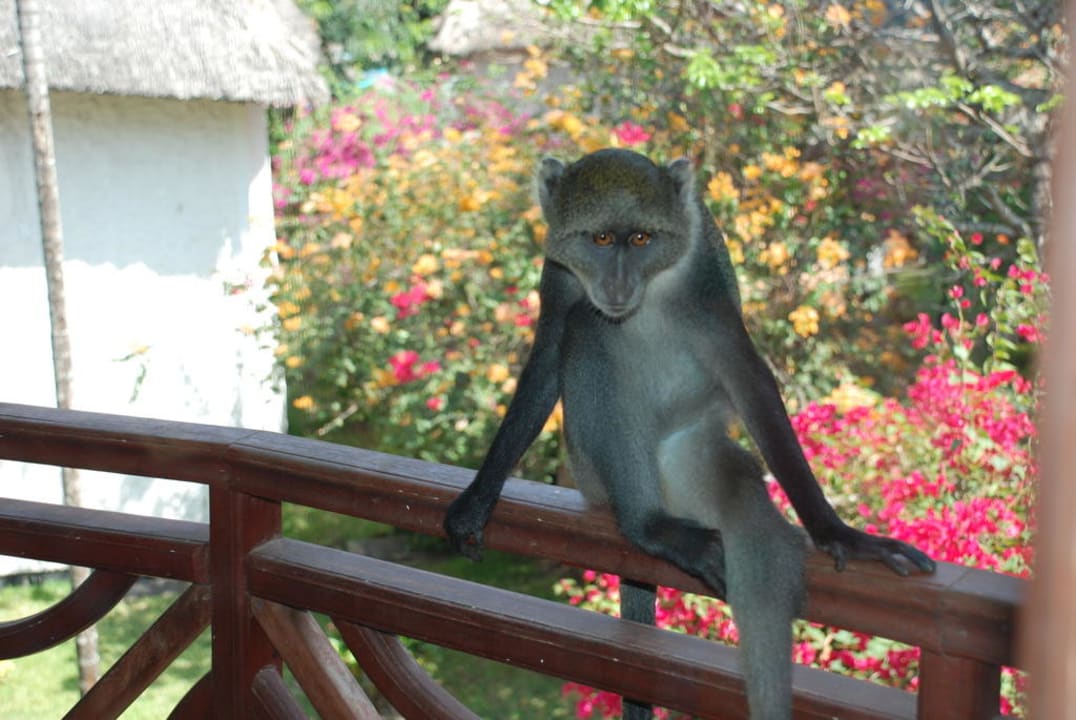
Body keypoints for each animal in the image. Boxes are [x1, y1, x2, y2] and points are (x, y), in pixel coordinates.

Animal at [443, 148, 935, 719]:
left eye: (641, 239)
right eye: (601, 239)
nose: (617, 286)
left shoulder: (702, 279)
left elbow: (748, 377)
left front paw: (837, 532)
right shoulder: (560, 271)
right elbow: (547, 358)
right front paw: (478, 498)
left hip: (690, 454)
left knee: (759, 537)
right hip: (592, 468)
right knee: (587, 330)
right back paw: (648, 525)